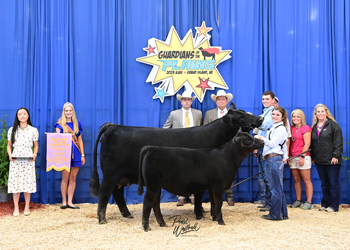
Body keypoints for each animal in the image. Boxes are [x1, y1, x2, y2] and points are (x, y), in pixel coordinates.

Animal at [89, 106, 262, 224]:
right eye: (240, 116)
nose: (260, 119)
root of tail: (112, 125)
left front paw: (207, 212)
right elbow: (200, 195)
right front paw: (200, 214)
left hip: (119, 176)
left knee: (117, 193)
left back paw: (127, 214)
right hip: (111, 173)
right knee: (105, 192)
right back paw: (102, 218)